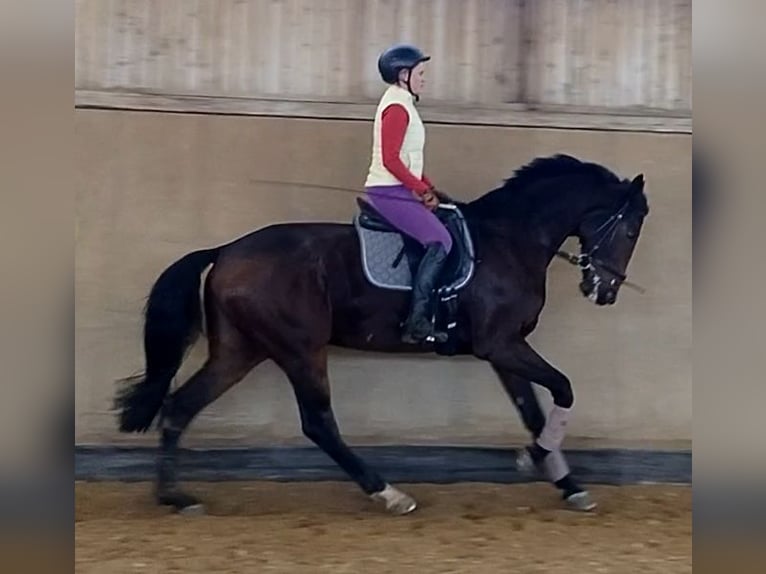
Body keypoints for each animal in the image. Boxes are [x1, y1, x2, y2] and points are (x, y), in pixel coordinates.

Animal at [114, 154, 649, 515]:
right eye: (630, 231)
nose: (604, 291)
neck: (511, 241)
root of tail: (226, 251)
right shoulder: (503, 345)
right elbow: (563, 388)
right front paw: (534, 459)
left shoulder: (503, 350)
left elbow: (532, 411)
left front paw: (567, 483)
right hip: (299, 348)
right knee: (318, 423)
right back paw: (389, 493)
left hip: (241, 351)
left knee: (179, 407)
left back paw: (175, 497)